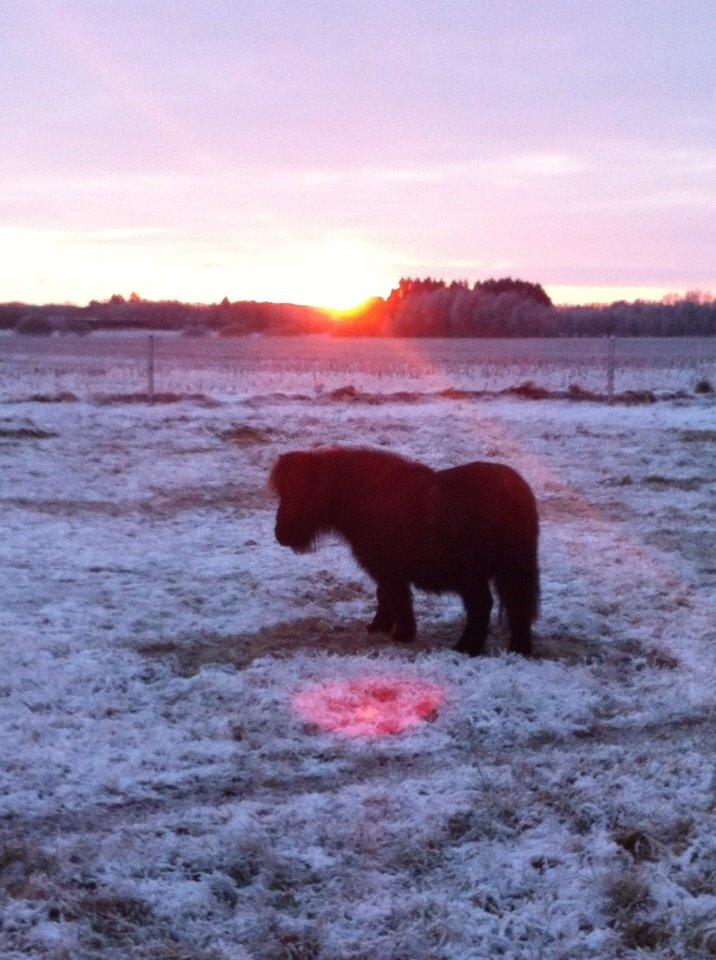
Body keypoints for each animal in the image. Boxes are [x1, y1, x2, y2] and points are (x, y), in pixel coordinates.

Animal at [272, 446, 540, 656]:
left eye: (301, 492)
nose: (280, 535)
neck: (366, 497)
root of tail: (512, 489)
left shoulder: (388, 569)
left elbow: (396, 597)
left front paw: (401, 633)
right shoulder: (385, 570)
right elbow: (385, 595)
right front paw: (380, 627)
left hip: (472, 575)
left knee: (482, 605)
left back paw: (466, 647)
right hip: (510, 569)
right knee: (518, 605)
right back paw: (519, 648)